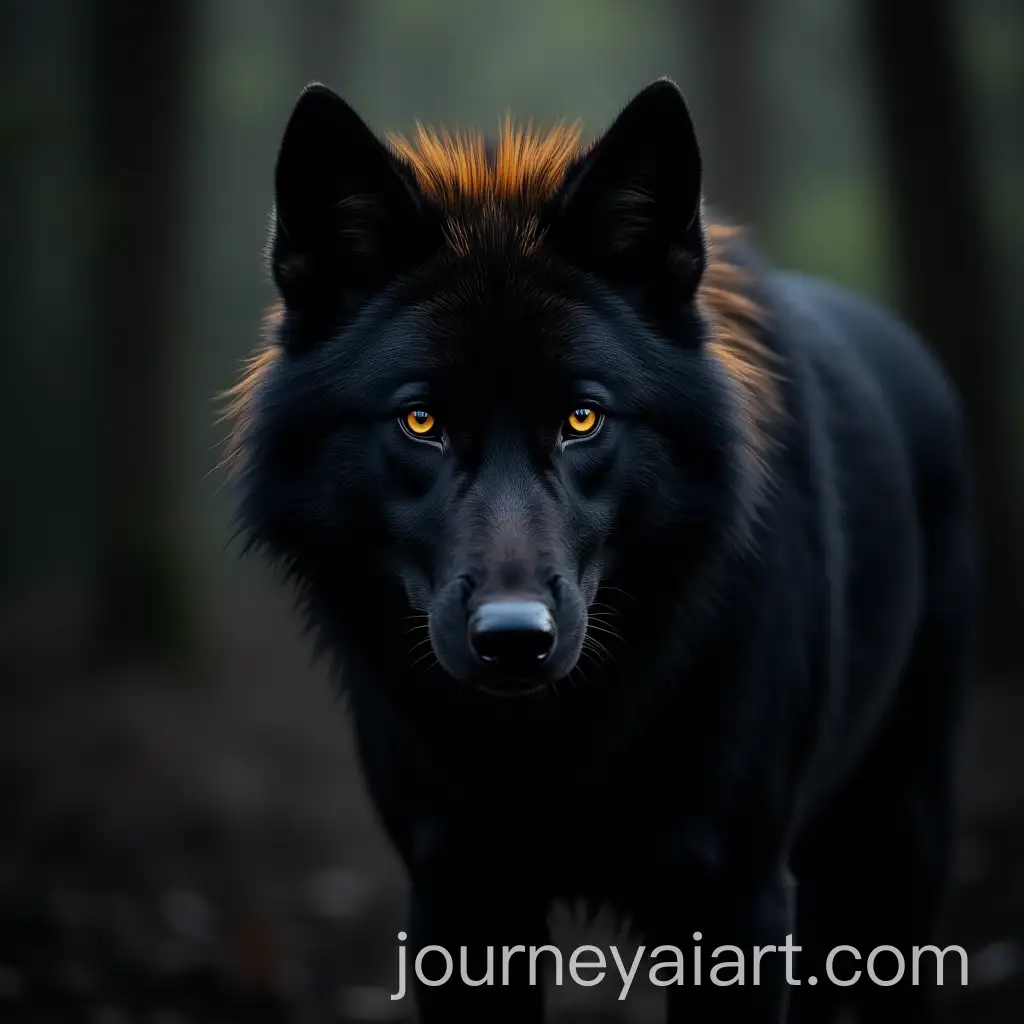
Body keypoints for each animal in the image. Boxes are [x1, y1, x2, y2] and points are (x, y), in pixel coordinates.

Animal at [222, 78, 977, 1022]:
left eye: (583, 418)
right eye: (421, 421)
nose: (514, 639)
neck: (557, 738)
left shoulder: (739, 898)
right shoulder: (458, 892)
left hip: (902, 841)